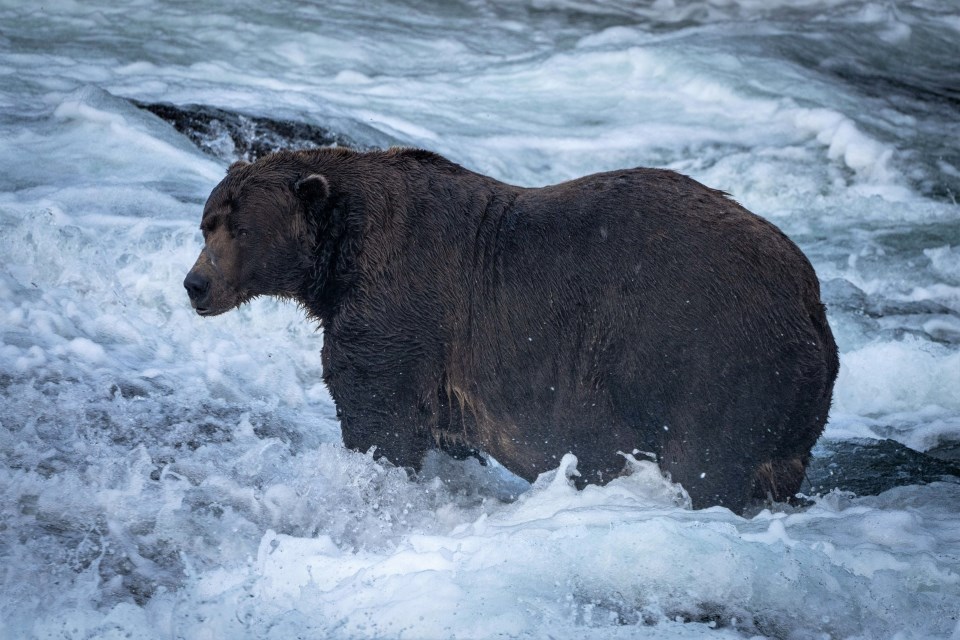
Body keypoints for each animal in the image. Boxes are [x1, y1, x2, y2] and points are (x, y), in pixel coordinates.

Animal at [184, 146, 836, 516]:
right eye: (207, 222)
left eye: (239, 228)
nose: (195, 284)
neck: (339, 258)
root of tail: (809, 297)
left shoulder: (399, 312)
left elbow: (378, 416)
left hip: (710, 362)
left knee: (707, 463)